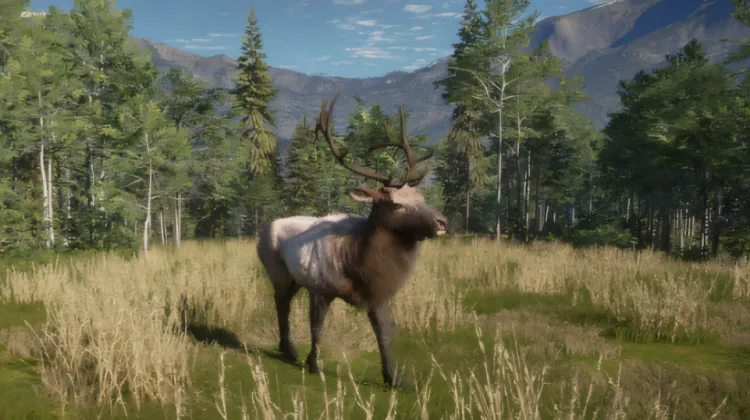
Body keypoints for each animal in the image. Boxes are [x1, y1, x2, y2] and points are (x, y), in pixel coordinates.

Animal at [256, 88, 448, 389]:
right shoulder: (320, 287)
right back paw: (289, 349)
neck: (356, 262)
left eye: (421, 197)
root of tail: (264, 230)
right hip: (278, 272)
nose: (442, 222)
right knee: (281, 303)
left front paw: (393, 378)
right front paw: (315, 364)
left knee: (284, 303)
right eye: (396, 204)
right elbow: (317, 326)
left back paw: (287, 349)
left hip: (294, 280)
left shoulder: (377, 294)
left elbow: (383, 333)